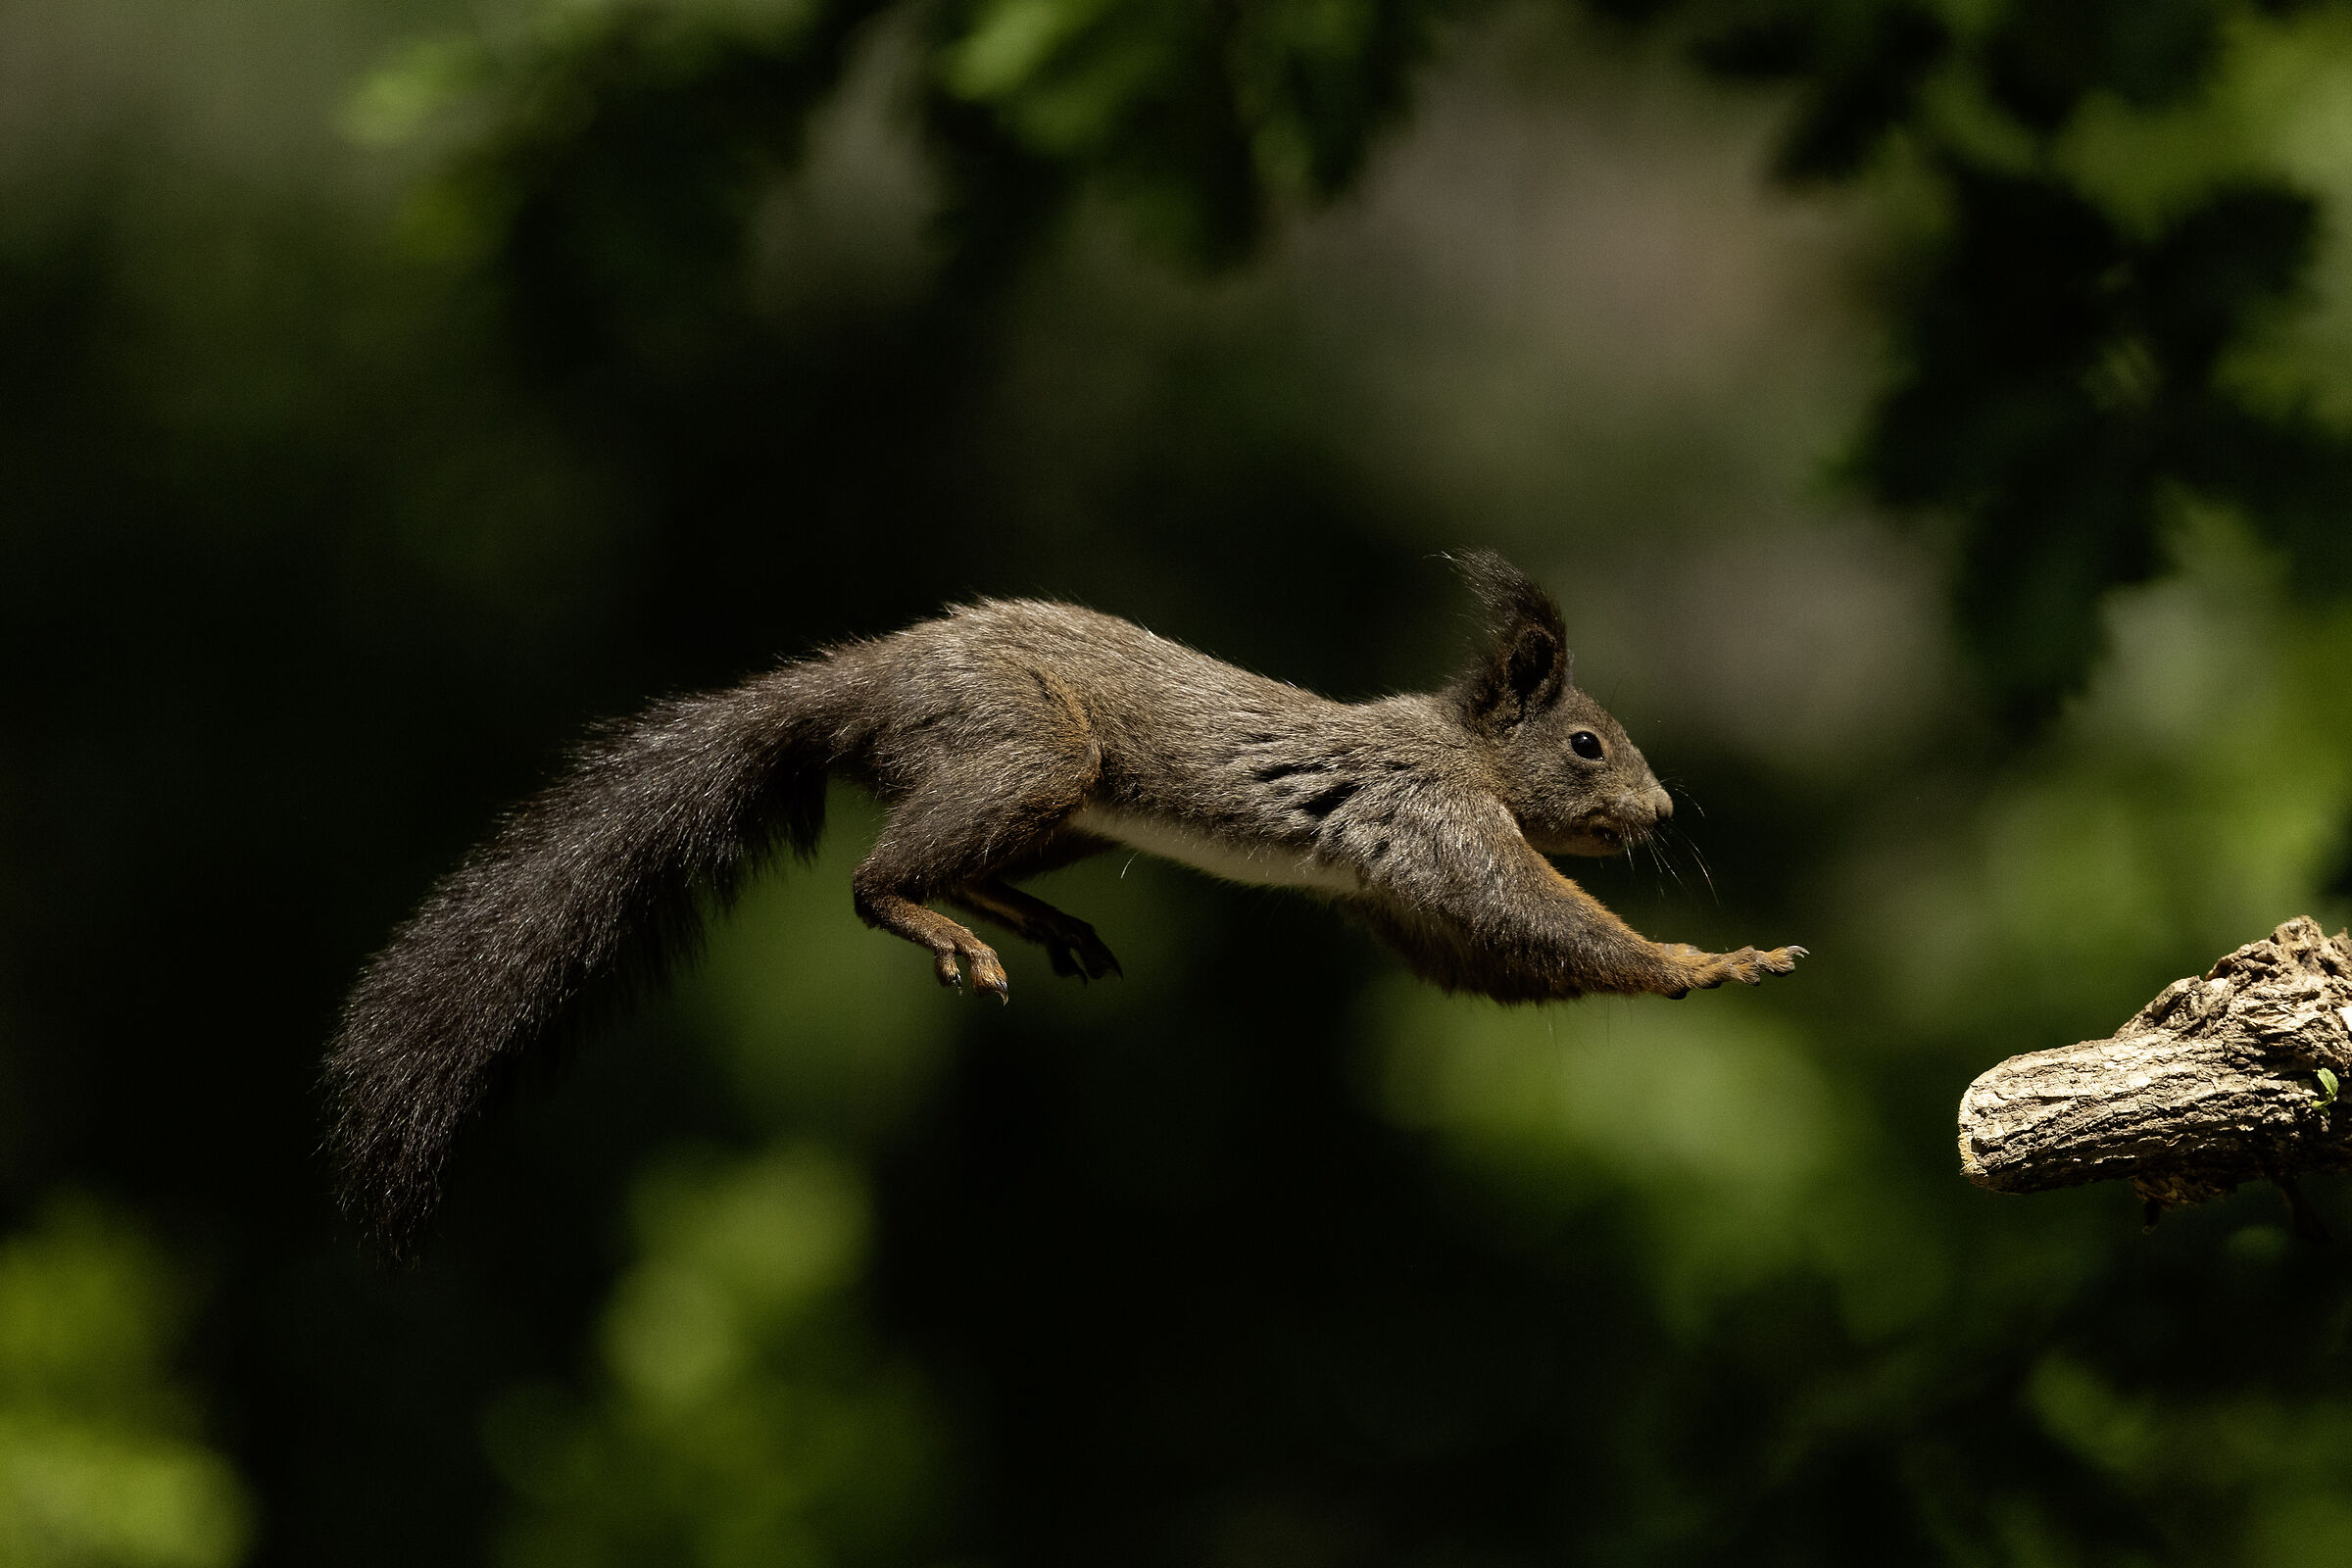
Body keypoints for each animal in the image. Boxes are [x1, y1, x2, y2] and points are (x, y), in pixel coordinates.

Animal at [325, 553, 1803, 1255]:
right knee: (876, 880)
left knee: (960, 860)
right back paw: (945, 929)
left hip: (1066, 810)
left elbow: (1490, 961)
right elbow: (1537, 921)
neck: (1460, 751)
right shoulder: (1440, 829)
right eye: (1588, 747)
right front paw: (1702, 960)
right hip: (1038, 750)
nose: (1662, 813)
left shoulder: (1402, 896)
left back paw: (1039, 925)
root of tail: (873, 675)